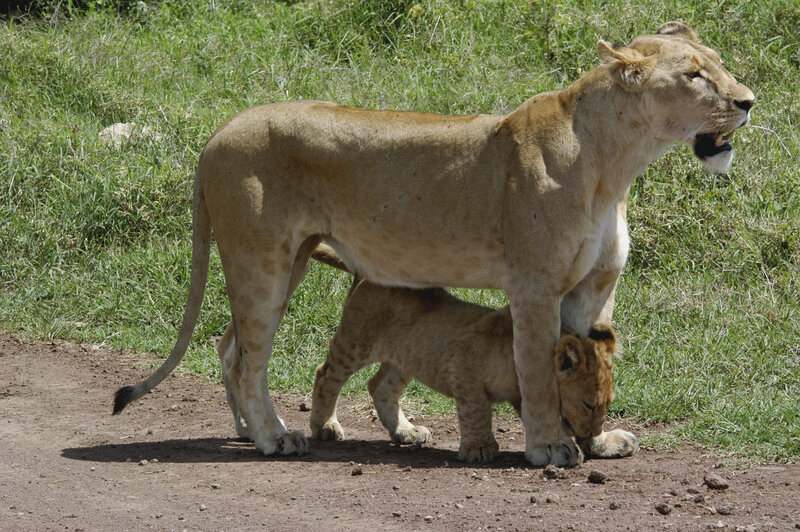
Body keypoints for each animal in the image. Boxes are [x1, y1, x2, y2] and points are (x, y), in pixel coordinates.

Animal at [302, 247, 636, 464]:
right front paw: (479, 449)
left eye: (606, 405)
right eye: (588, 404)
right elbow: (476, 410)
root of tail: (365, 274)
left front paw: (604, 443)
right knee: (325, 374)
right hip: (357, 342)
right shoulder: (462, 364)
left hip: (406, 357)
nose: (593, 430)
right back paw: (325, 426)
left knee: (380, 386)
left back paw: (406, 431)